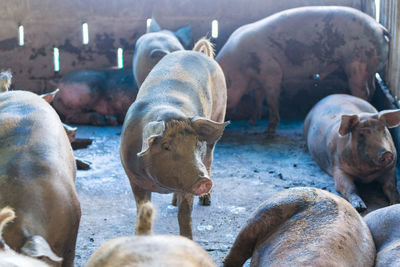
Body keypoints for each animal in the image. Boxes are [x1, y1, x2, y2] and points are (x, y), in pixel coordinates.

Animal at [119, 38, 228, 241]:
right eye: (166, 146)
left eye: (196, 144)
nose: (203, 180)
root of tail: (196, 52)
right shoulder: (133, 179)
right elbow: (142, 208)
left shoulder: (187, 185)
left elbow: (184, 215)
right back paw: (174, 201)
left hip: (219, 113)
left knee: (209, 159)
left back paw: (205, 201)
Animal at [217, 6, 390, 134]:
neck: (241, 68)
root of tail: (380, 27)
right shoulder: (258, 79)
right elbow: (258, 98)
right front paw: (252, 122)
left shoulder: (271, 72)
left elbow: (271, 99)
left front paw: (269, 130)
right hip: (368, 69)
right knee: (371, 88)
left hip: (357, 64)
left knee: (362, 91)